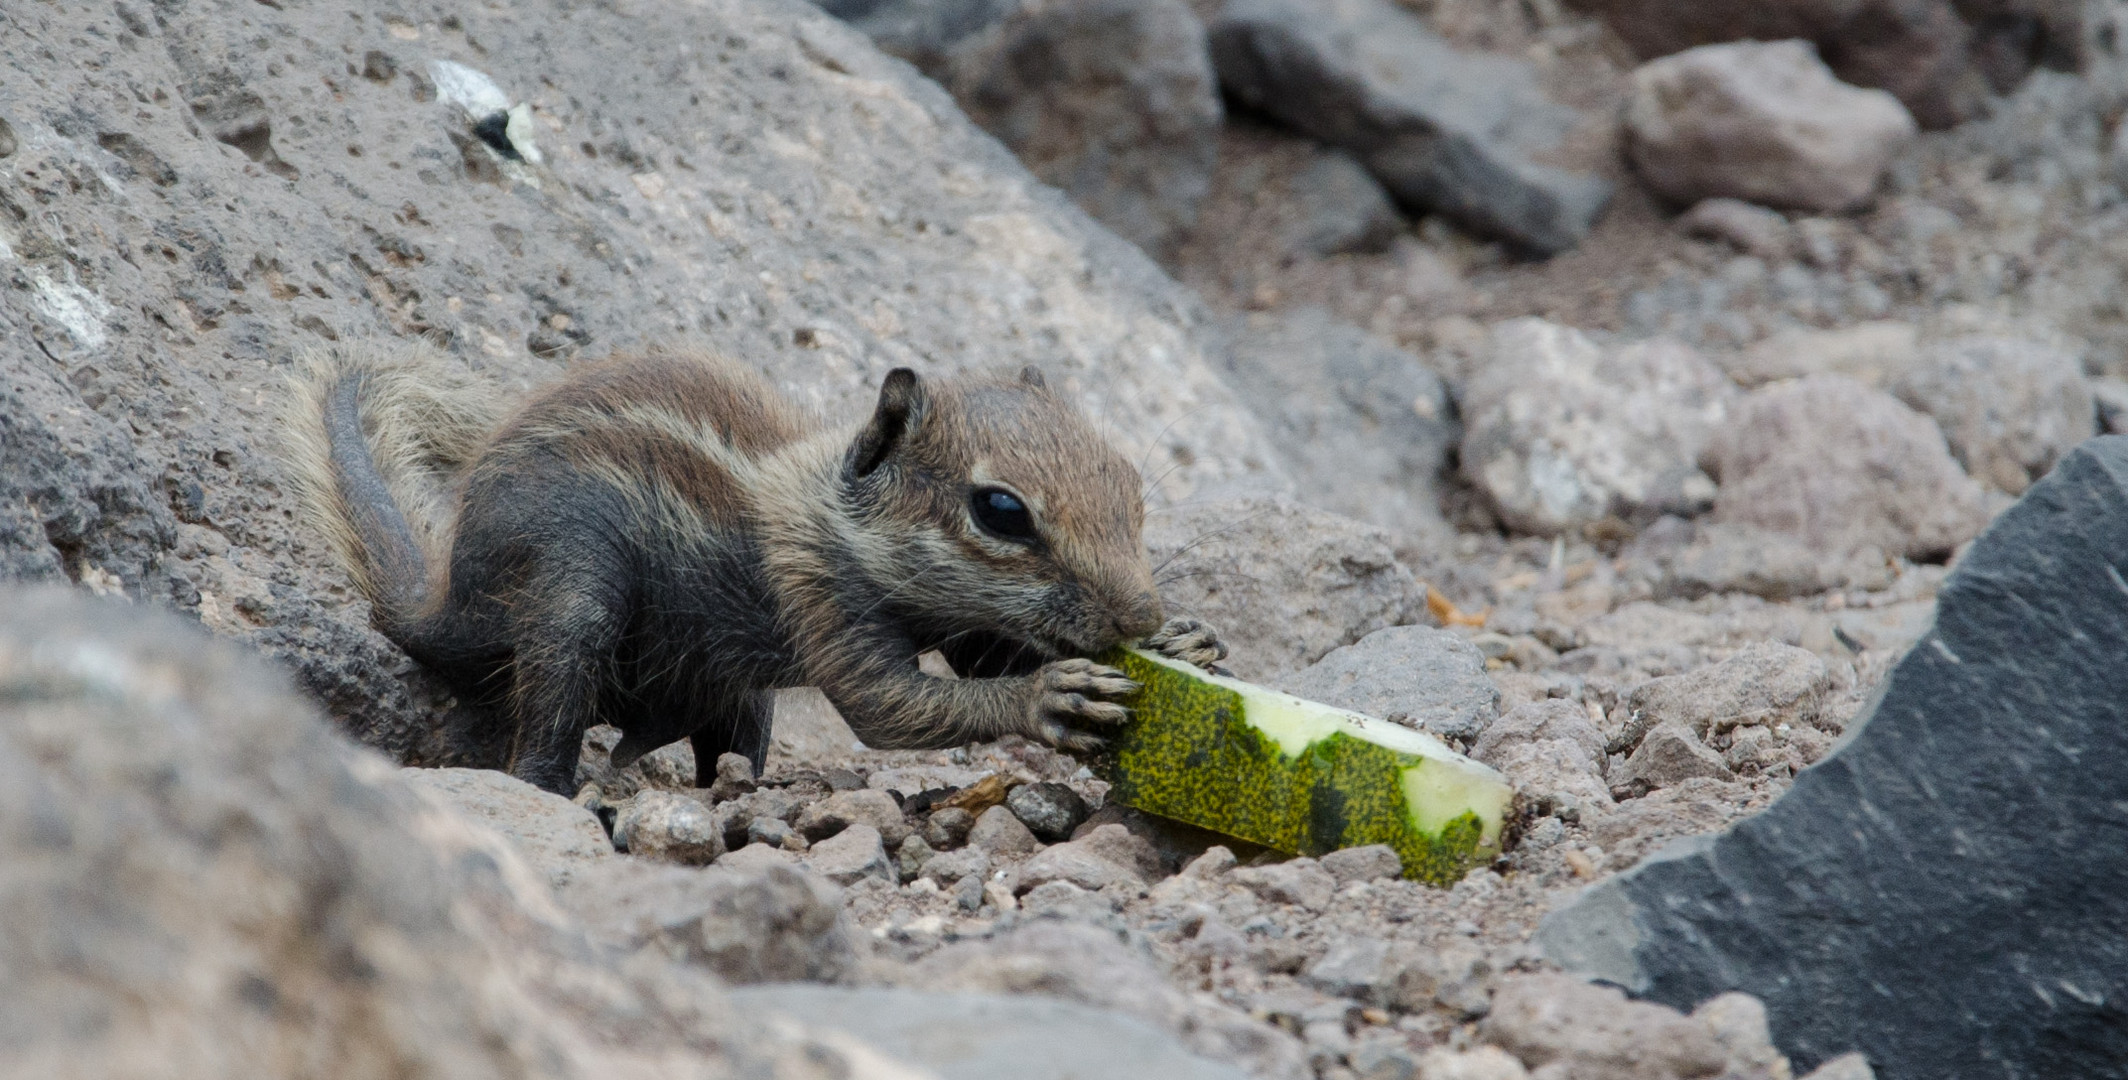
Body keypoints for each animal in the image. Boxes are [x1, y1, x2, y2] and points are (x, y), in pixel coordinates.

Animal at [283, 344, 1225, 795]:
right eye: (1001, 510)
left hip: (738, 695)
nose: (1140, 618)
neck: (837, 515)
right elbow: (892, 708)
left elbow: (984, 657)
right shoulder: (819, 595)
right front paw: (1049, 698)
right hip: (570, 583)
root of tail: (447, 601)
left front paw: (1189, 641)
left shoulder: (965, 620)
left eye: (1128, 480)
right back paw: (556, 789)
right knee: (547, 711)